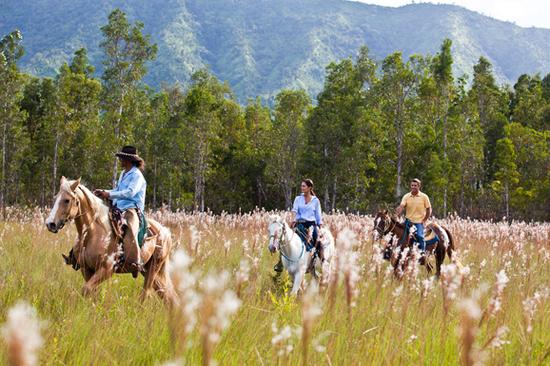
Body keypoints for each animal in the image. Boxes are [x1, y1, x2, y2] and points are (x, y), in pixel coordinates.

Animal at [46, 177, 179, 306]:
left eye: (67, 200)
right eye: (56, 198)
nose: (50, 224)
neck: (94, 233)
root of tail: (165, 231)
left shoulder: (107, 269)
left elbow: (86, 289)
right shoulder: (86, 269)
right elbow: (93, 293)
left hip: (153, 268)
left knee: (146, 293)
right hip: (149, 270)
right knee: (167, 295)